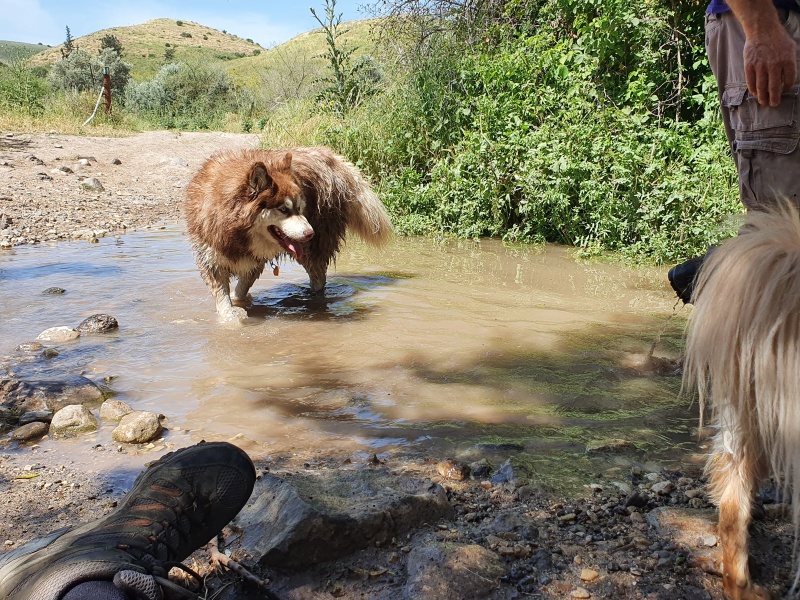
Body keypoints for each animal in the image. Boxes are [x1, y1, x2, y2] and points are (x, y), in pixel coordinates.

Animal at [184, 146, 390, 318]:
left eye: (299, 207)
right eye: (283, 209)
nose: (310, 233)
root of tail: (327, 154)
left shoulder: (253, 260)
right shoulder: (211, 258)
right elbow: (226, 296)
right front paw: (231, 314)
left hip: (311, 250)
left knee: (318, 278)